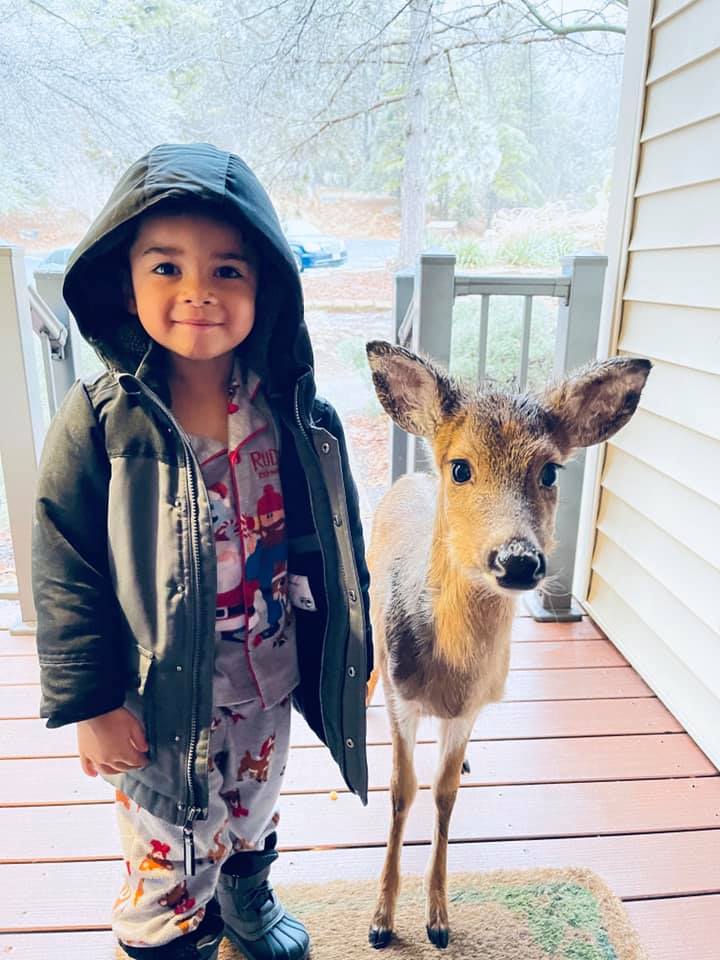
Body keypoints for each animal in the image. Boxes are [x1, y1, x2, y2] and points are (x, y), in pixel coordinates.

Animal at [366, 342, 652, 948]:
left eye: (549, 469)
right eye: (460, 467)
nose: (518, 559)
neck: (449, 674)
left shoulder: (471, 707)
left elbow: (444, 794)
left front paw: (438, 919)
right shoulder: (403, 697)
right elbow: (401, 791)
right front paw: (381, 921)